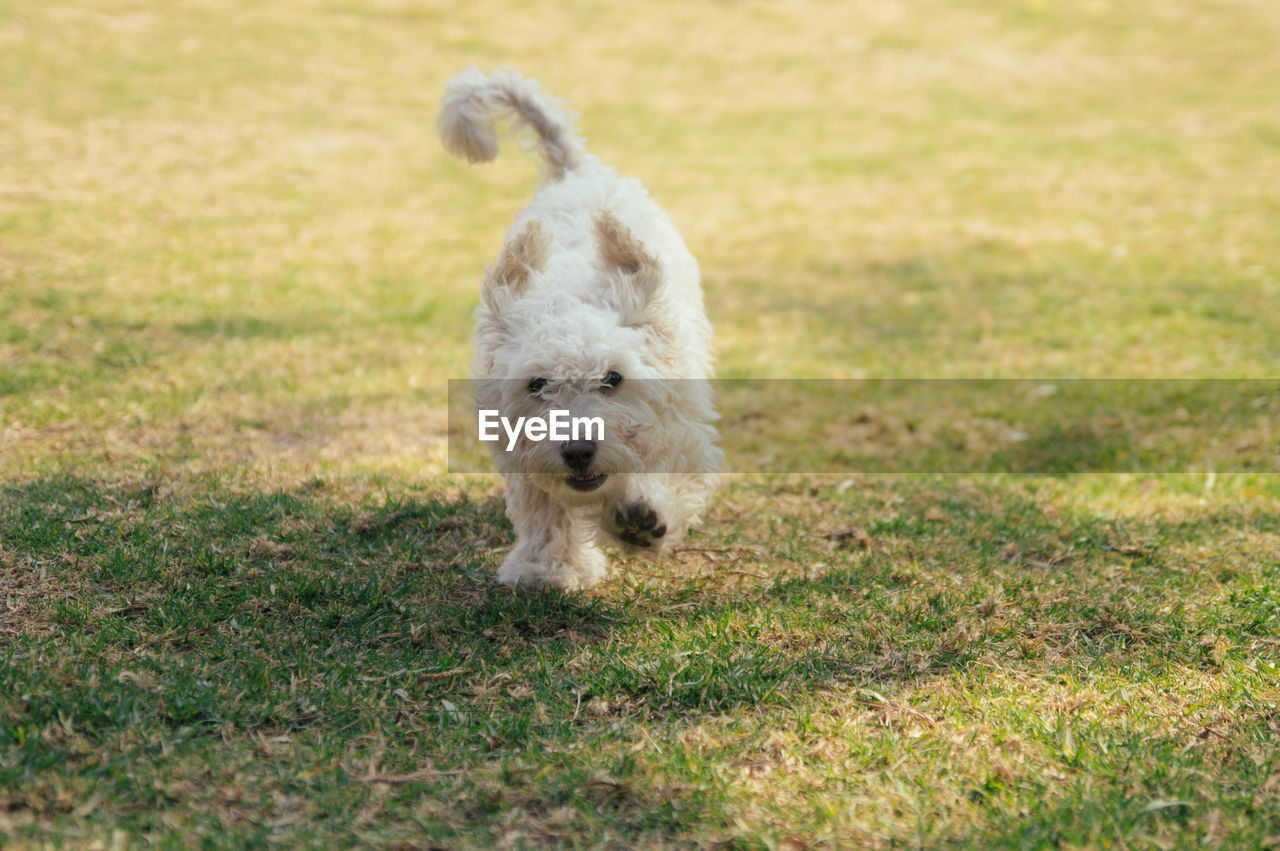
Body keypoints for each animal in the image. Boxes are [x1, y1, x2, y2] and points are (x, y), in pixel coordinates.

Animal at [437, 68, 721, 591]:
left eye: (614, 378)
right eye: (536, 384)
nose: (578, 451)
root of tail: (577, 170)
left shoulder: (683, 423)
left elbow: (675, 467)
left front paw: (645, 514)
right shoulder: (518, 451)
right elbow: (544, 510)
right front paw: (548, 568)